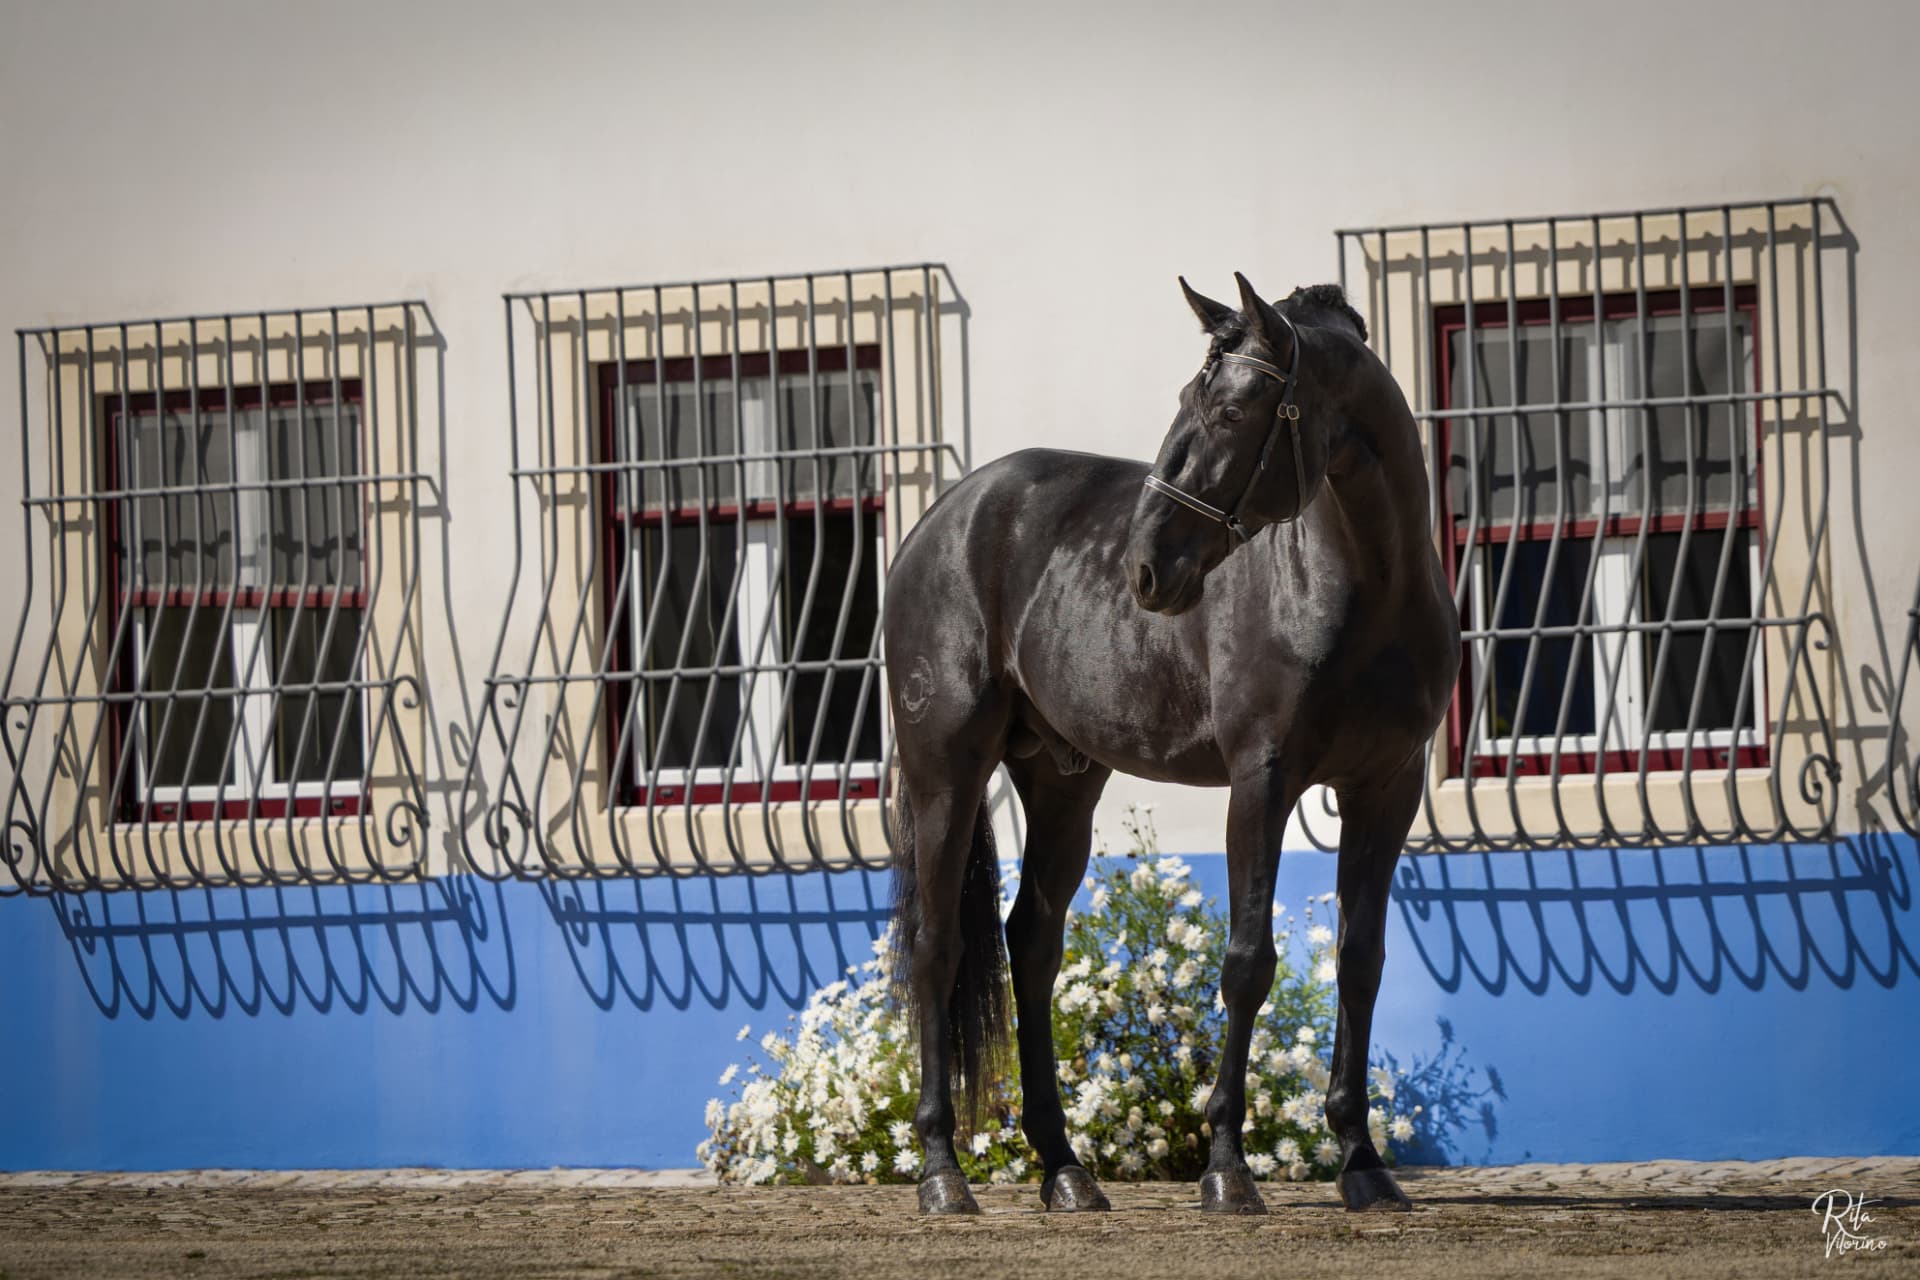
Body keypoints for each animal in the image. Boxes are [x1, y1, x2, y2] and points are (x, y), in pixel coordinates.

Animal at [884, 272, 1460, 1215]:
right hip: (946, 775)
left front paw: (1363, 1161)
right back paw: (942, 1174)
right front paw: (1227, 1167)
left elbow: (1361, 960)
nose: (1146, 570)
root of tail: (946, 515)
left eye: (1230, 412)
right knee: (939, 948)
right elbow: (1248, 963)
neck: (1361, 588)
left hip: (1061, 783)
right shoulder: (1262, 781)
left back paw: (1064, 1169)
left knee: (1031, 945)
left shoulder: (1388, 789)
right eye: (1188, 402)